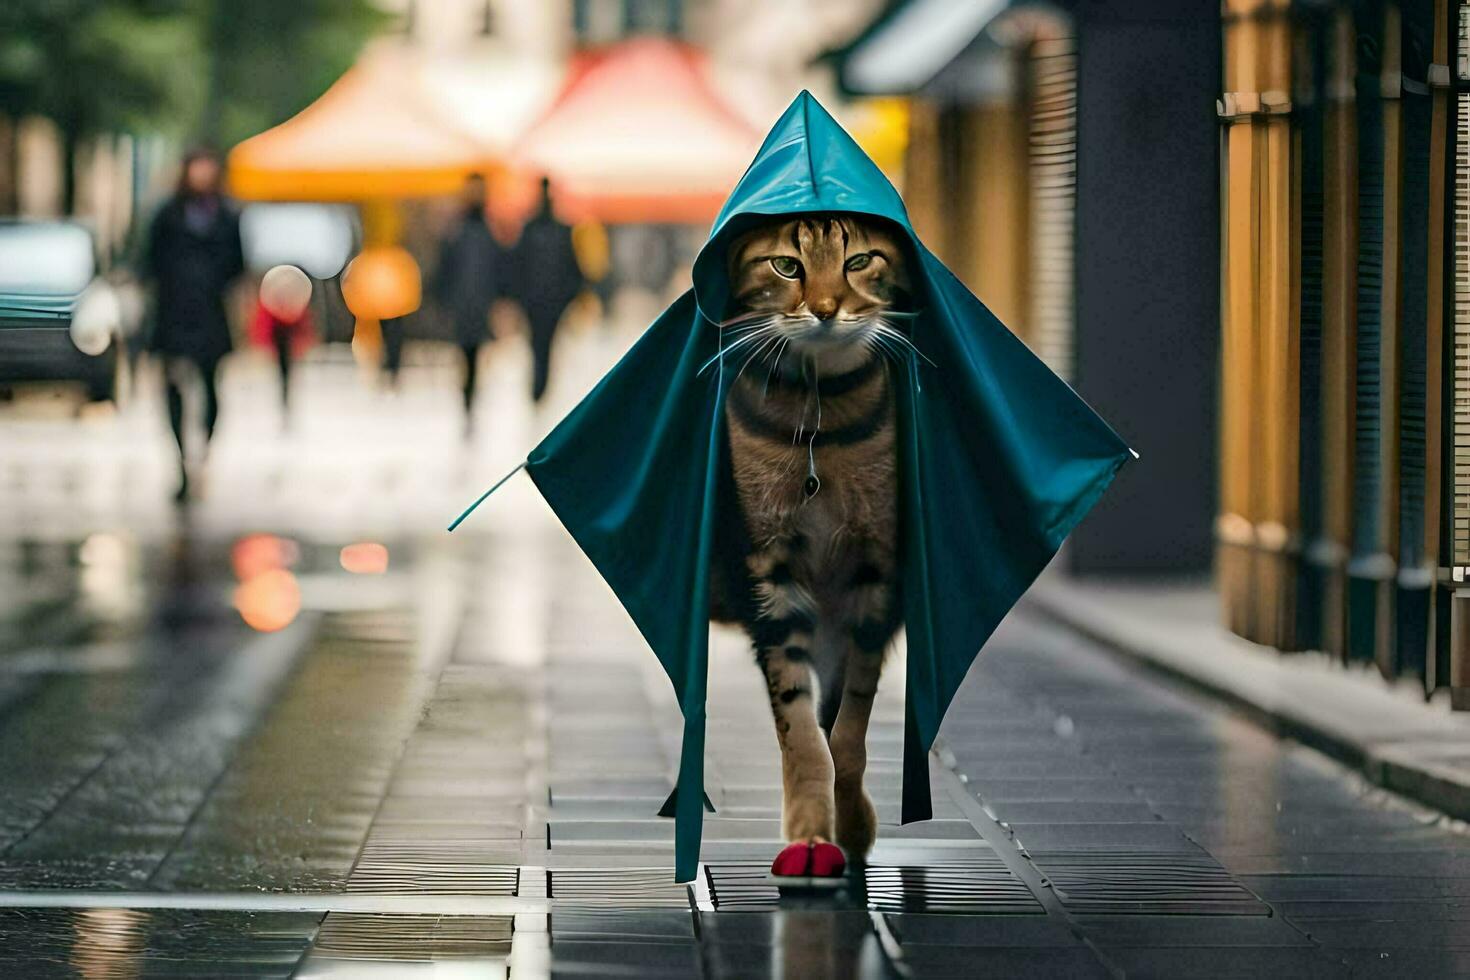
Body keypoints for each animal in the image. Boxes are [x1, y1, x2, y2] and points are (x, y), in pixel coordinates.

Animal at [708, 211, 911, 863]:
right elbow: (797, 727)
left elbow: (849, 727)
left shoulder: (876, 572)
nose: (824, 308)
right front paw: (810, 830)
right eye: (786, 265)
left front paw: (849, 821)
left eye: (859, 261)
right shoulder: (770, 572)